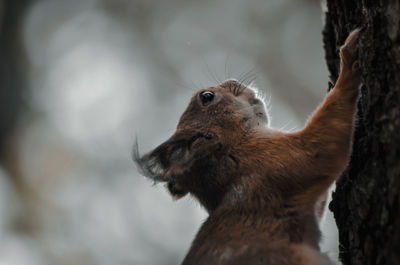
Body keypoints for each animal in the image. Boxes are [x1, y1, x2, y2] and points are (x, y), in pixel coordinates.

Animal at [133, 29, 360, 264]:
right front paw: (348, 62)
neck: (234, 152)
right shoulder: (278, 163)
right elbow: (325, 146)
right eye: (207, 97)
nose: (233, 80)